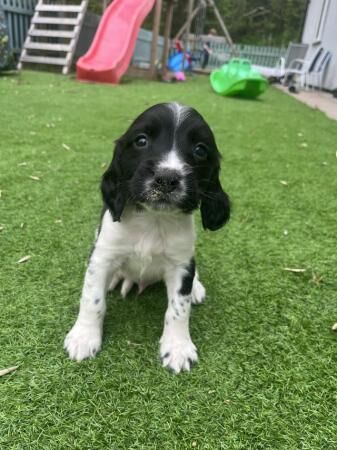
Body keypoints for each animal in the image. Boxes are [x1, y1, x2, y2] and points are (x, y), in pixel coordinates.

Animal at [64, 102, 230, 372]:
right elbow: (92, 299)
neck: (154, 219)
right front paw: (84, 337)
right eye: (141, 140)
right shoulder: (103, 255)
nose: (167, 179)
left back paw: (196, 288)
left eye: (200, 150)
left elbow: (178, 309)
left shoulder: (181, 264)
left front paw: (178, 347)